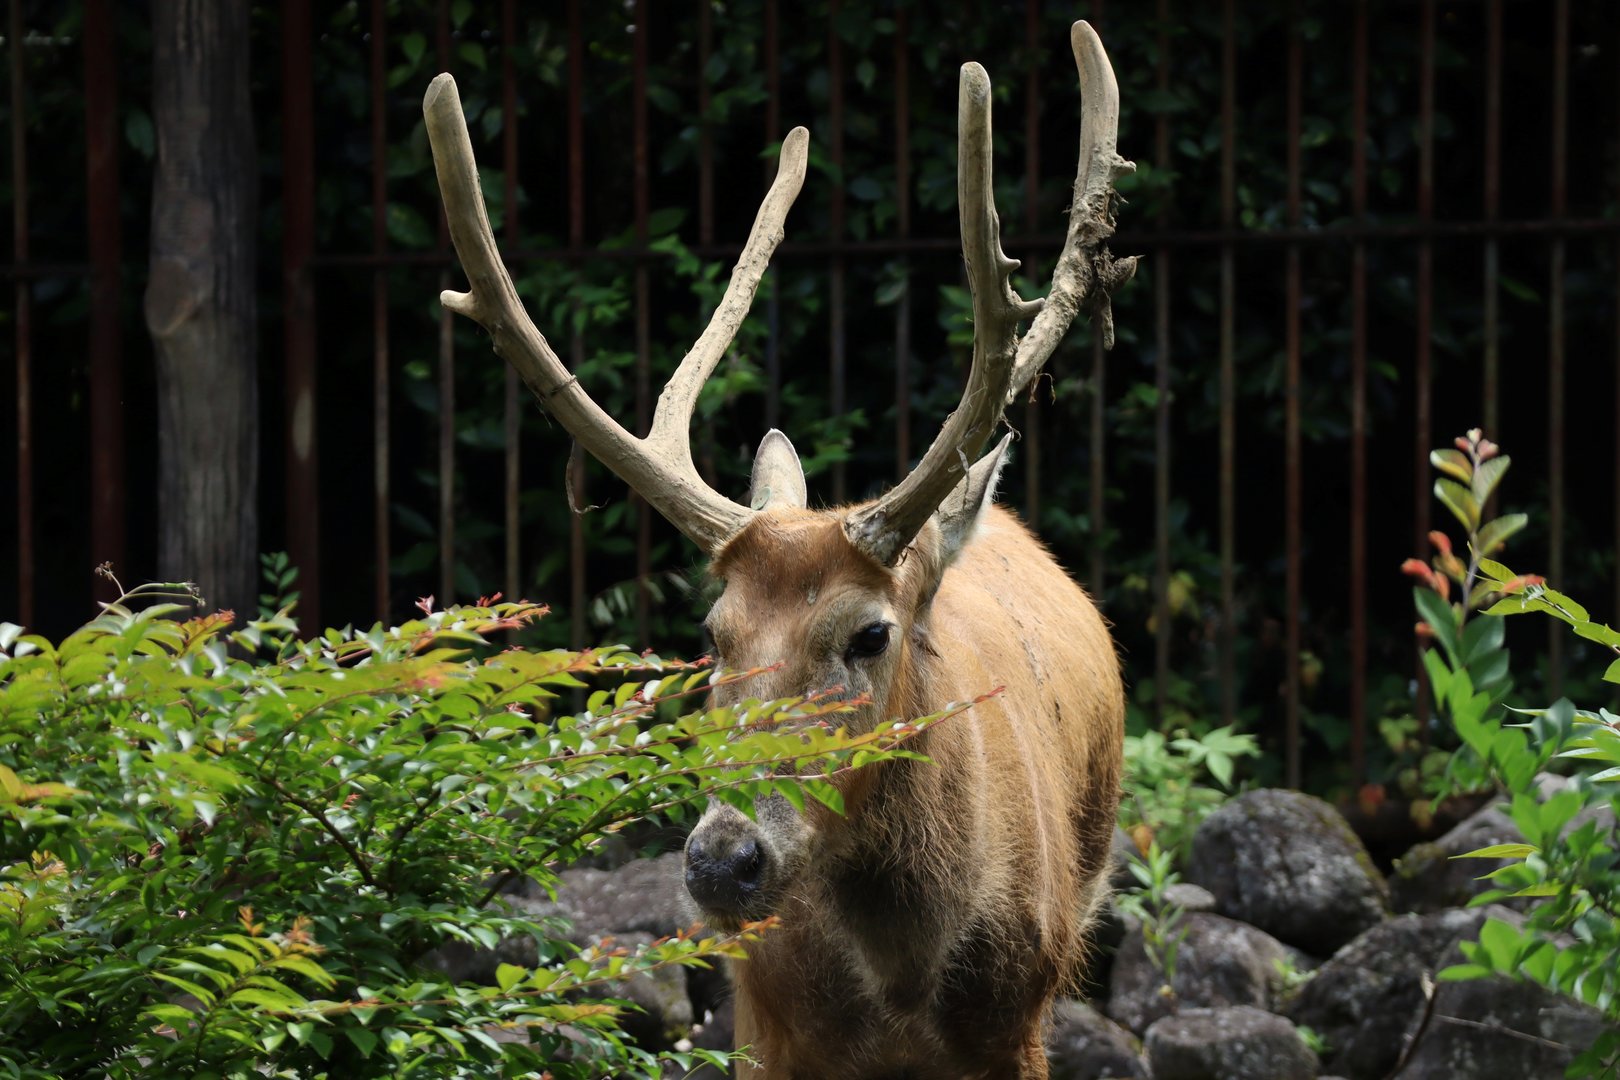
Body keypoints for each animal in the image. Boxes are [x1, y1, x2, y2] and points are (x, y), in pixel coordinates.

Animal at [423, 20, 1135, 1079]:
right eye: (711, 636)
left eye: (870, 634)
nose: (725, 859)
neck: (902, 990)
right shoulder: (765, 1022)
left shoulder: (1019, 1019)